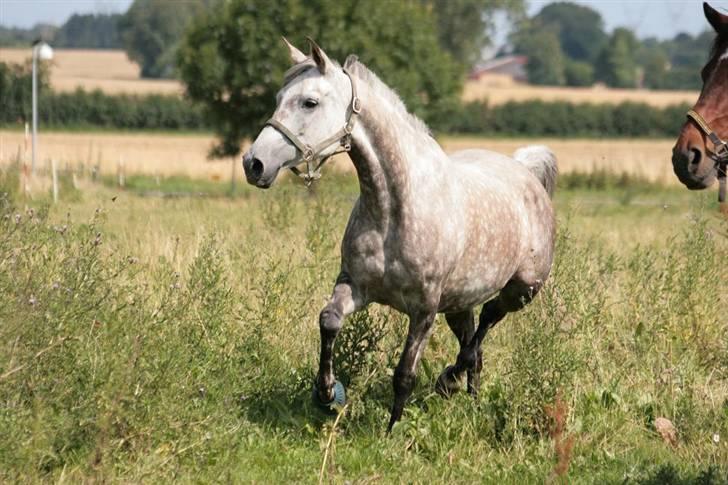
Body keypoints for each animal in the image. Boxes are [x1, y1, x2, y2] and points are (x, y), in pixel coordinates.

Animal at [245, 39, 556, 430]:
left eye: (309, 102)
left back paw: (449, 381)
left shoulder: (423, 309)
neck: (393, 207)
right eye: (278, 98)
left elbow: (404, 374)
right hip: (459, 302)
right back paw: (469, 396)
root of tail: (525, 171)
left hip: (521, 290)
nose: (254, 164)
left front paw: (391, 430)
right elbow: (328, 321)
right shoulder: (355, 285)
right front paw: (327, 393)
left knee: (486, 323)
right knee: (475, 345)